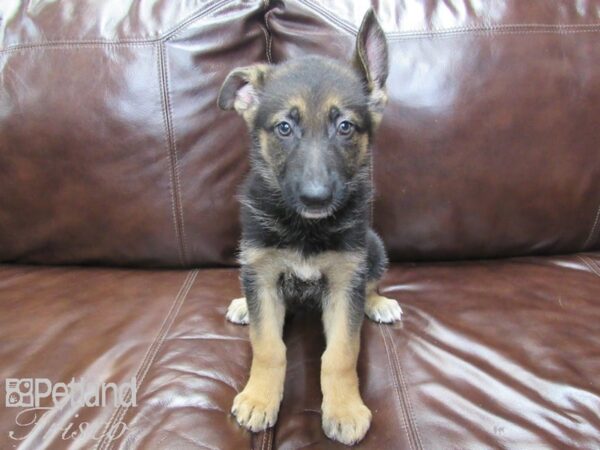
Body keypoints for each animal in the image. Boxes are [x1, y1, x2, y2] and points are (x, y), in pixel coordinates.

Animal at [218, 8, 400, 444]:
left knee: (371, 282)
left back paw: (379, 302)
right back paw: (242, 304)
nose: (316, 198)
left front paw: (344, 409)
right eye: (284, 127)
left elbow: (341, 354)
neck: (305, 229)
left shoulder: (345, 281)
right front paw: (259, 398)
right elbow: (268, 347)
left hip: (374, 248)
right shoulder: (263, 274)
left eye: (345, 127)